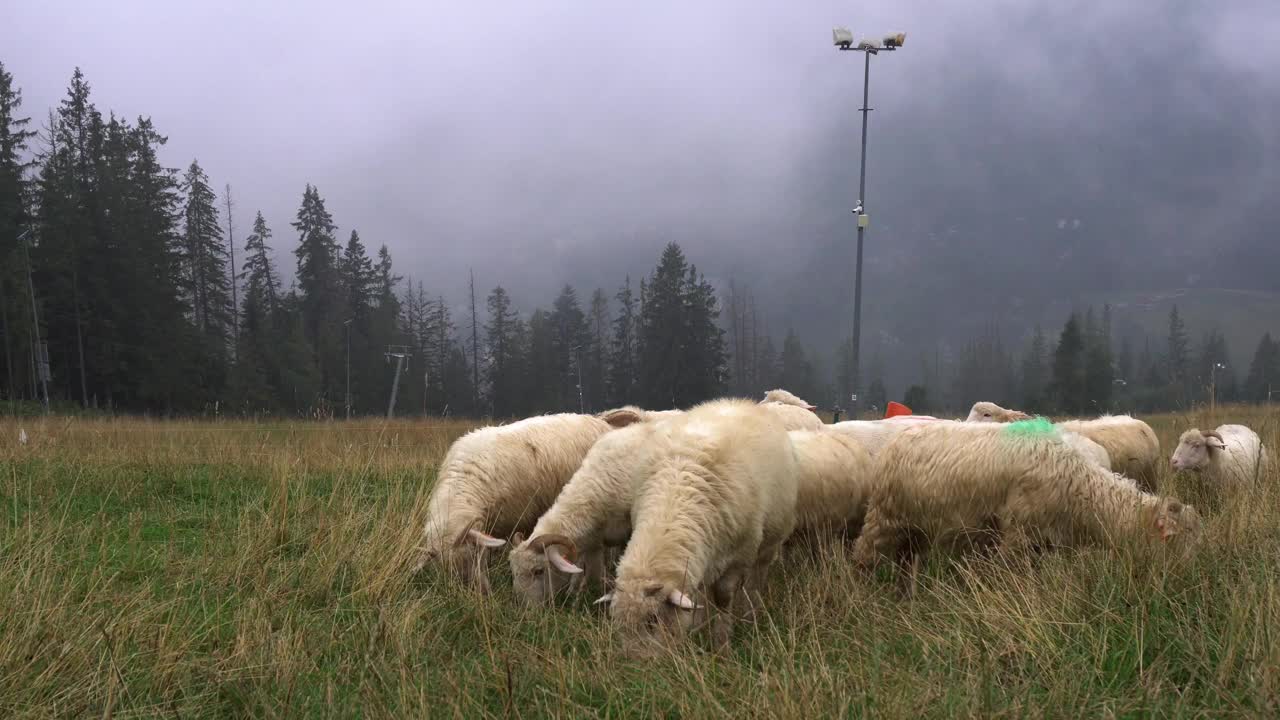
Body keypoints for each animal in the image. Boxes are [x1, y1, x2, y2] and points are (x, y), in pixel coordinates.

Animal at [504, 420, 660, 604]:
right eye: (513, 571)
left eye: (538, 571)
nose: (525, 608)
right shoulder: (592, 541)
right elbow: (584, 568)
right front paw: (574, 593)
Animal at [593, 397, 793, 655]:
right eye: (618, 621)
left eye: (653, 620)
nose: (635, 663)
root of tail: (740, 402)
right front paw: (698, 627)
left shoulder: (739, 556)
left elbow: (723, 596)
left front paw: (721, 642)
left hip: (770, 540)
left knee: (758, 576)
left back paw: (752, 611)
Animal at [849, 417, 1198, 573]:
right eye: (1174, 541)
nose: (1189, 572)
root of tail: (898, 437)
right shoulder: (1019, 532)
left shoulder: (1046, 542)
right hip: (886, 515)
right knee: (865, 550)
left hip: (917, 528)